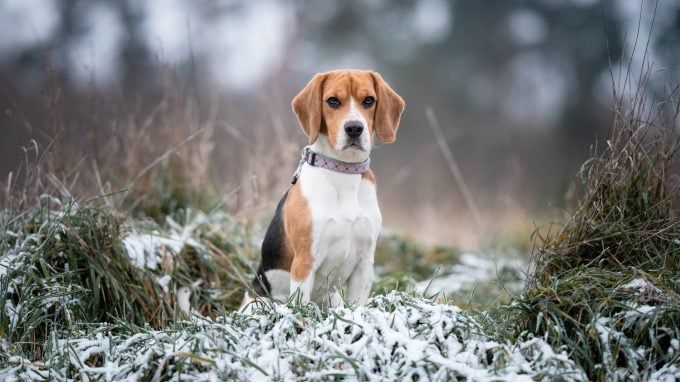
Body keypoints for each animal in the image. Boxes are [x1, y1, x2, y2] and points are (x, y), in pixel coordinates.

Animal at [244, 69, 404, 308]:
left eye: (369, 100)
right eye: (333, 101)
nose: (354, 128)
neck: (343, 171)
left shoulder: (365, 264)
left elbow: (357, 305)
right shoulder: (304, 262)